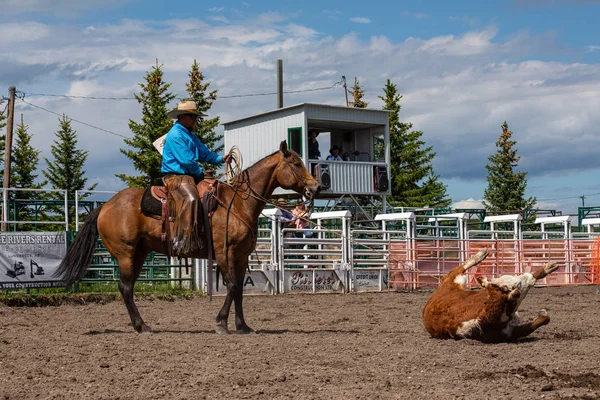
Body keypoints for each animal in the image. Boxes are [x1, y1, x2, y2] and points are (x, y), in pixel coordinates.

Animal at [54, 142, 322, 332]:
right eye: (296, 164)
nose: (316, 187)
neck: (237, 203)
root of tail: (105, 206)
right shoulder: (224, 252)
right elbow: (232, 286)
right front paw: (221, 323)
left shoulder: (241, 256)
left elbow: (239, 290)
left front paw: (242, 326)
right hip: (126, 254)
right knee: (125, 287)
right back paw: (142, 326)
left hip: (139, 253)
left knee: (127, 287)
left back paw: (141, 324)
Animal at [422, 248, 556, 342]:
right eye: (517, 285)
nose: (531, 278)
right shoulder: (509, 333)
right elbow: (539, 322)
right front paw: (543, 312)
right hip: (455, 278)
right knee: (458, 269)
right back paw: (480, 255)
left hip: (457, 280)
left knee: (462, 267)